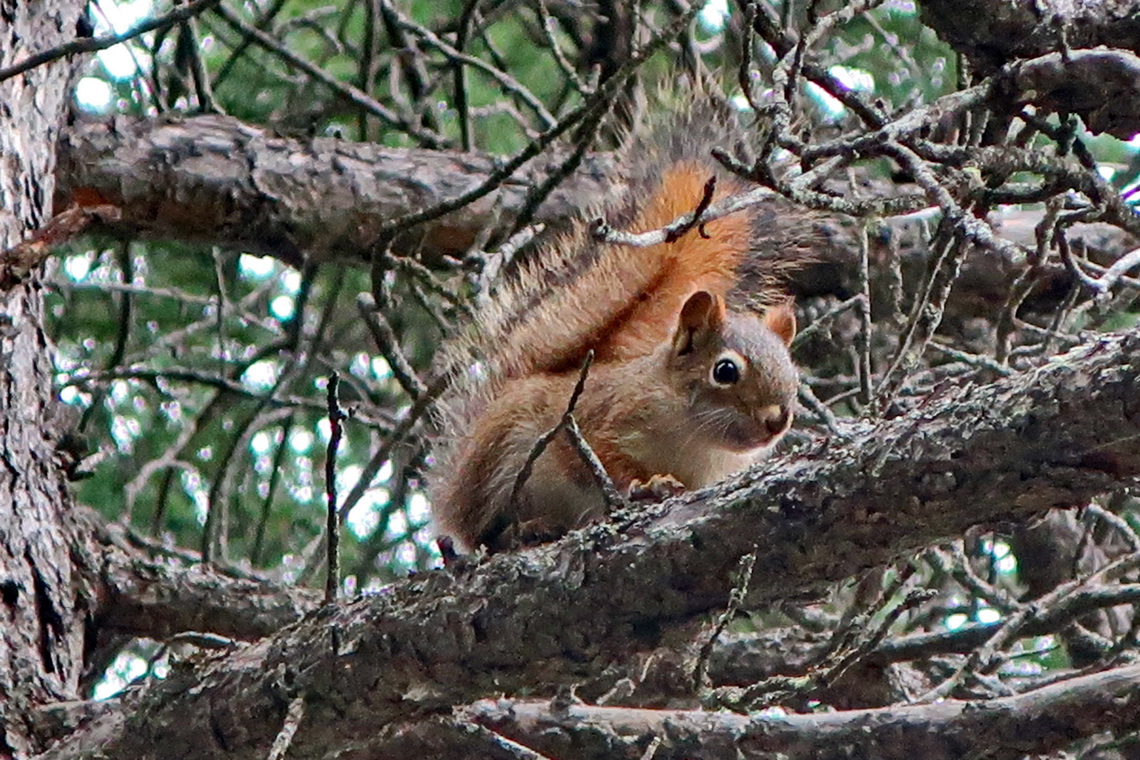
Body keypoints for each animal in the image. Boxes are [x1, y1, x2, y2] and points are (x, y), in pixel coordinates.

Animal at [428, 107, 811, 553]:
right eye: (725, 370)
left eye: (793, 373)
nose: (777, 420)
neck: (696, 438)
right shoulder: (598, 419)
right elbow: (606, 461)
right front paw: (648, 484)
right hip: (498, 459)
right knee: (484, 534)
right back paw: (525, 529)